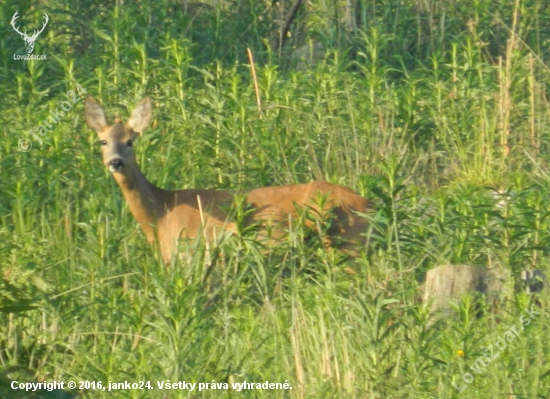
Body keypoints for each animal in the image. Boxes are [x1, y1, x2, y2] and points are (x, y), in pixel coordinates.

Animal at [84, 96, 374, 264]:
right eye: (103, 141)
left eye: (130, 142)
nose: (115, 162)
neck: (161, 214)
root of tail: (368, 203)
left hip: (347, 243)